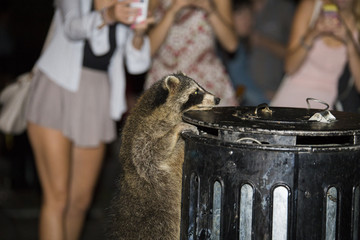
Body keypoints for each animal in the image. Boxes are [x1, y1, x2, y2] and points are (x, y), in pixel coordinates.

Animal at [106, 73, 219, 240]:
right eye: (195, 92)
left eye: (201, 88)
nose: (217, 99)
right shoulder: (143, 135)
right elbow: (152, 152)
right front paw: (176, 129)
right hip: (162, 218)